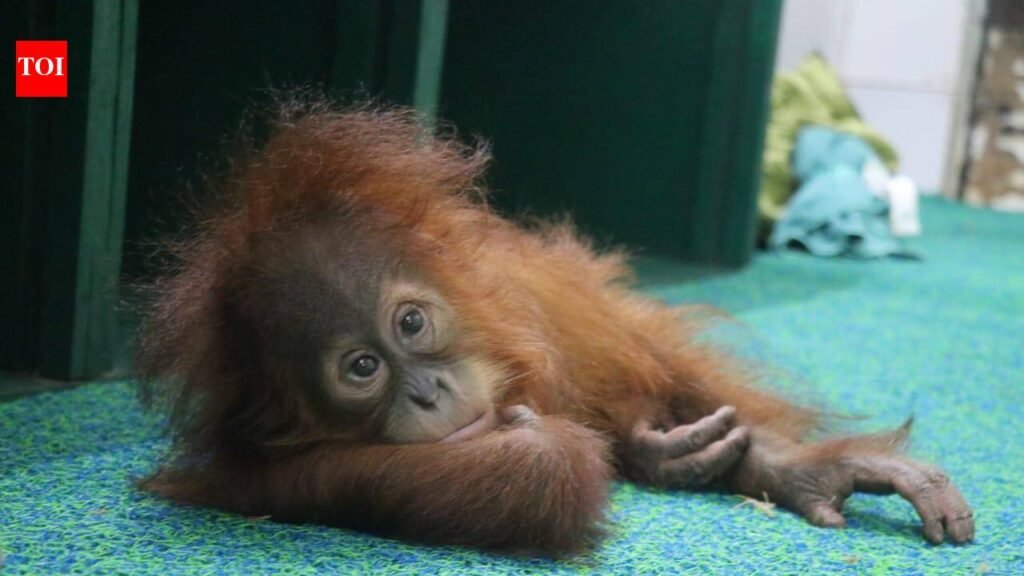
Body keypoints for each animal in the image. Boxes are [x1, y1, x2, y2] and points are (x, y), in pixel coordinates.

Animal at [137, 101, 974, 555]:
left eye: (411, 322)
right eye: (361, 369)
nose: (429, 392)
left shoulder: (534, 300)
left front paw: (800, 469)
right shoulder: (268, 467)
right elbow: (538, 466)